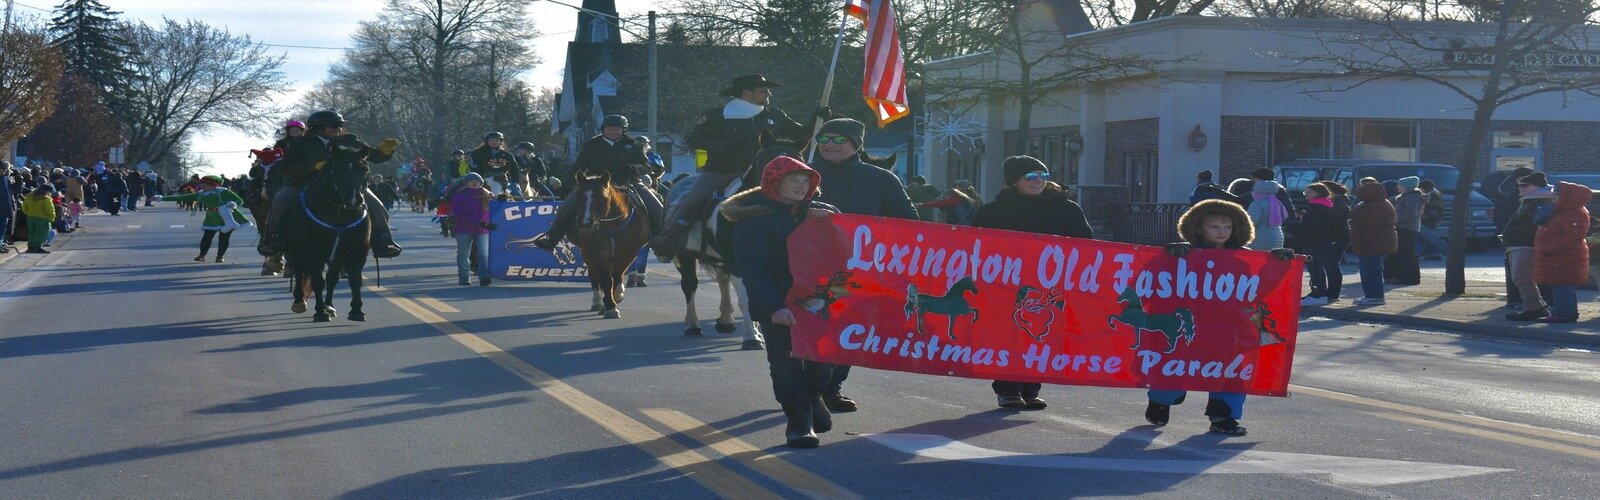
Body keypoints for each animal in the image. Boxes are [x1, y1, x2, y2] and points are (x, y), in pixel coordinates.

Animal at [284, 137, 377, 323]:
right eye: (337, 168)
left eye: (364, 169)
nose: (354, 200)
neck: (339, 212)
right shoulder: (312, 253)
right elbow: (317, 282)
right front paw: (320, 312)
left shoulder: (356, 252)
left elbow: (355, 280)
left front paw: (356, 310)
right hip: (296, 252)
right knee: (299, 271)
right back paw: (299, 302)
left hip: (336, 258)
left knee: (332, 278)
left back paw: (330, 306)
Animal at [566, 169, 646, 318]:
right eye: (578, 195)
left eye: (602, 196)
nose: (585, 223)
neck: (612, 227)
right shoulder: (595, 252)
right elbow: (605, 279)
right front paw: (610, 306)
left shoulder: (629, 252)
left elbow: (617, 275)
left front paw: (617, 296)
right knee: (593, 275)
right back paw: (598, 301)